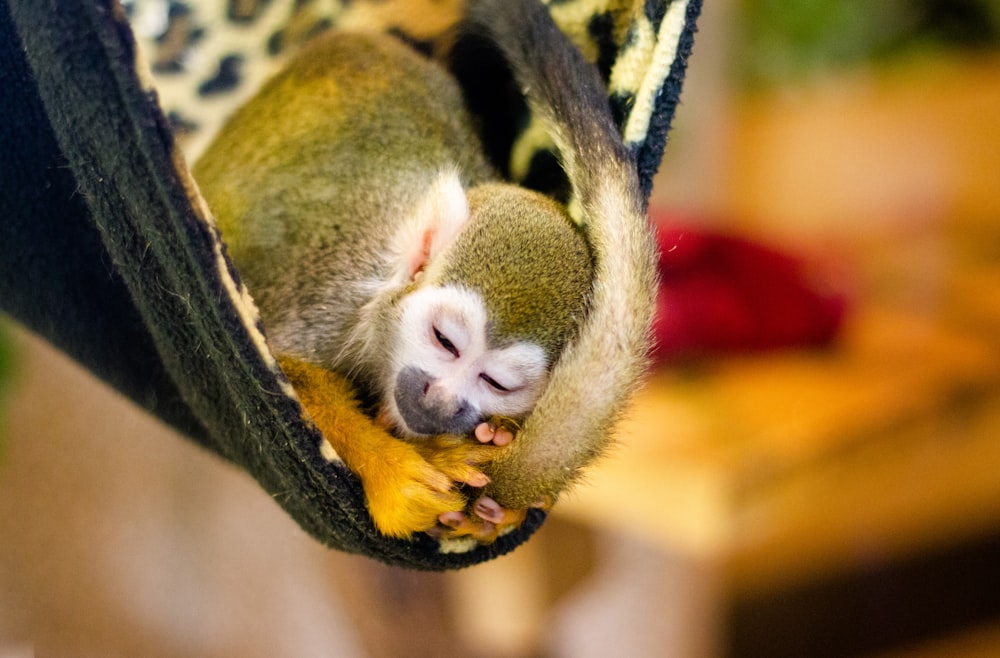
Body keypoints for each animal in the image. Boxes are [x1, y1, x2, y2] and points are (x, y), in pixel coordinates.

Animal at [193, 0, 656, 544]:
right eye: (445, 341)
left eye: (496, 383)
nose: (441, 401)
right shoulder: (336, 286)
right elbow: (283, 370)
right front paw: (395, 470)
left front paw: (496, 500)